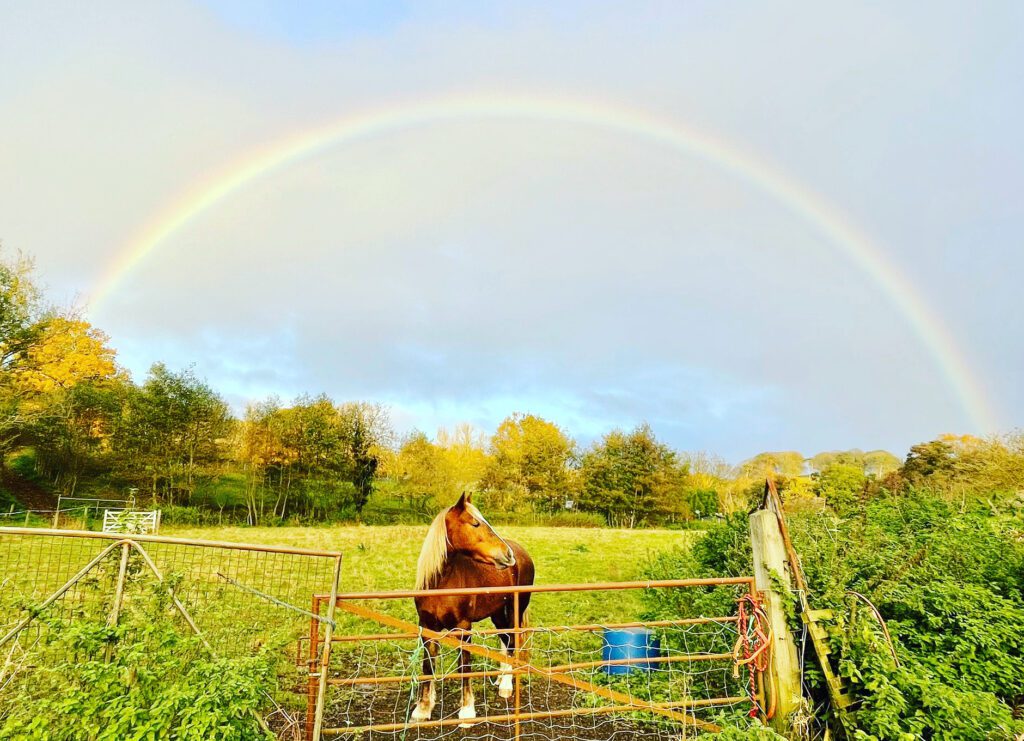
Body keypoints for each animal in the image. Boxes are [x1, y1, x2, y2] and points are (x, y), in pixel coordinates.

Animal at [409, 491, 536, 724]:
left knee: (512, 642)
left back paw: (506, 685)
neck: (441, 583)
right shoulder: (428, 628)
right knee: (506, 640)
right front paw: (422, 709)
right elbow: (428, 665)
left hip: (515, 610)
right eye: (475, 523)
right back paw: (501, 678)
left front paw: (467, 711)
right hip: (497, 614)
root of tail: (522, 554)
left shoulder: (463, 628)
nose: (508, 555)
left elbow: (464, 667)